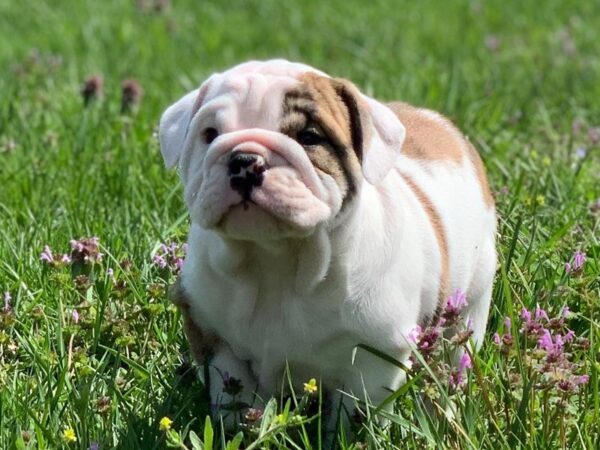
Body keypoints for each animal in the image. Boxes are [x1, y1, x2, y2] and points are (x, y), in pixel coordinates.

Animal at [159, 59, 496, 422]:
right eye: (210, 135)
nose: (244, 159)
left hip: (469, 308)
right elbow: (235, 396)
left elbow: (355, 415)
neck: (275, 260)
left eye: (309, 137)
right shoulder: (215, 339)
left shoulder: (373, 359)